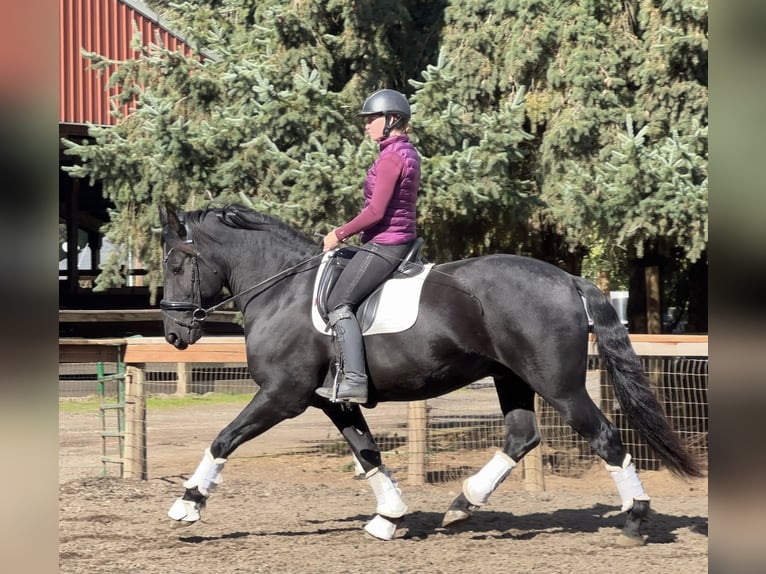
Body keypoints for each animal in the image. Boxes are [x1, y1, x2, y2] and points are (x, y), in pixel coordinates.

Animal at [159, 202, 703, 545]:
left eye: (174, 265)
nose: (174, 334)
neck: (282, 290)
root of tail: (567, 279)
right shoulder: (332, 400)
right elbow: (368, 452)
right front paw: (388, 519)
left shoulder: (282, 394)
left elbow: (224, 438)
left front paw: (188, 504)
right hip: (512, 378)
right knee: (522, 436)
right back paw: (462, 504)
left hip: (560, 386)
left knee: (604, 437)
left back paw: (635, 520)